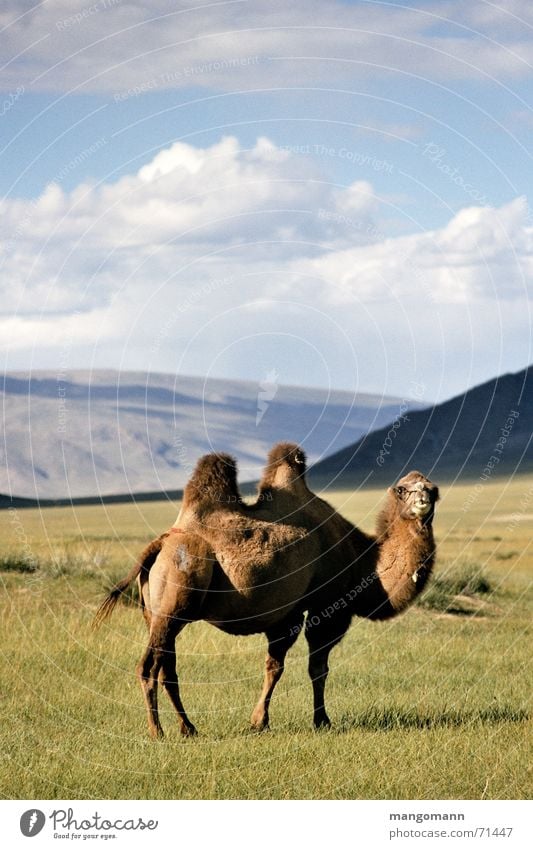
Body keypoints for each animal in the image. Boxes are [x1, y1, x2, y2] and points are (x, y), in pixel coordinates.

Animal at [93, 444, 438, 736]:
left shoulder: (288, 614)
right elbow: (317, 668)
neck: (363, 562)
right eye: (403, 489)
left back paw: (188, 728)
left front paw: (259, 721)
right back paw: (157, 731)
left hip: (156, 614)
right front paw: (320, 721)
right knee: (148, 667)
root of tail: (160, 544)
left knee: (167, 668)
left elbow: (274, 666)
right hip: (174, 602)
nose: (424, 500)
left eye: (433, 489)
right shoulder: (328, 608)